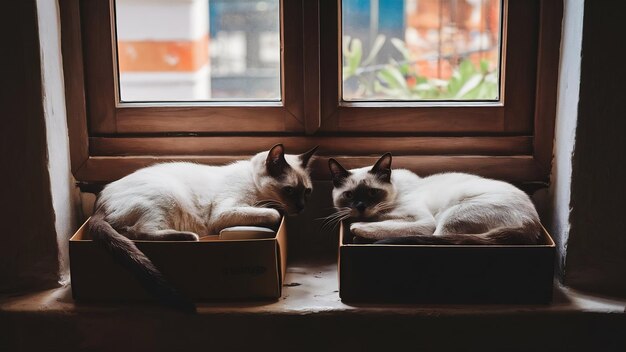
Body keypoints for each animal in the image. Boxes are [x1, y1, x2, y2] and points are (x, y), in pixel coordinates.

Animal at [88, 144, 316, 310]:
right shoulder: (223, 213)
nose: (302, 208)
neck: (256, 188)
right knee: (139, 233)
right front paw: (274, 213)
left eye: (307, 192)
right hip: (165, 197)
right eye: (289, 190)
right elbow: (273, 213)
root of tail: (98, 202)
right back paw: (188, 237)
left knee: (128, 233)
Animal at [330, 154, 540, 245]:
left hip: (450, 216)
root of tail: (533, 223)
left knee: (434, 238)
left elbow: (384, 227)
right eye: (349, 195)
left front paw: (357, 228)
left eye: (373, 193)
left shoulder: (421, 221)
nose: (361, 206)